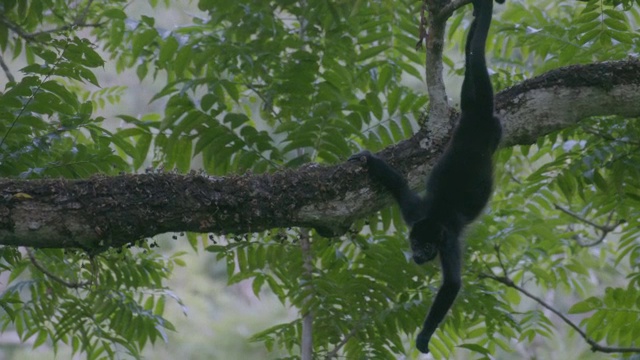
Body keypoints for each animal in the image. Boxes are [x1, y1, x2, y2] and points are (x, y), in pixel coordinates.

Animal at [350, 0, 504, 354]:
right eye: (416, 242)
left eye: (428, 246)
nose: (419, 254)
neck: (434, 217)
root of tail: (473, 125)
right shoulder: (415, 214)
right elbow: (399, 184)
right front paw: (367, 160)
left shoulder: (447, 239)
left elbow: (452, 284)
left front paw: (423, 336)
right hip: (472, 114)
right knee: (472, 72)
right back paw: (478, 18)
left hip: (491, 130)